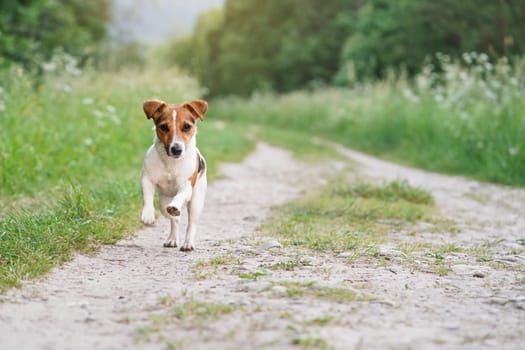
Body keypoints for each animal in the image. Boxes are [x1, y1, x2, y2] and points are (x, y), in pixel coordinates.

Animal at [140, 98, 208, 252]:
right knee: (174, 220)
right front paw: (148, 214)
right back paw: (172, 239)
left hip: (196, 201)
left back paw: (188, 243)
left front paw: (175, 205)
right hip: (163, 203)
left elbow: (180, 196)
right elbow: (147, 197)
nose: (176, 149)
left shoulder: (186, 186)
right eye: (164, 127)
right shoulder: (148, 179)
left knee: (191, 224)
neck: (171, 163)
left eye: (187, 127)